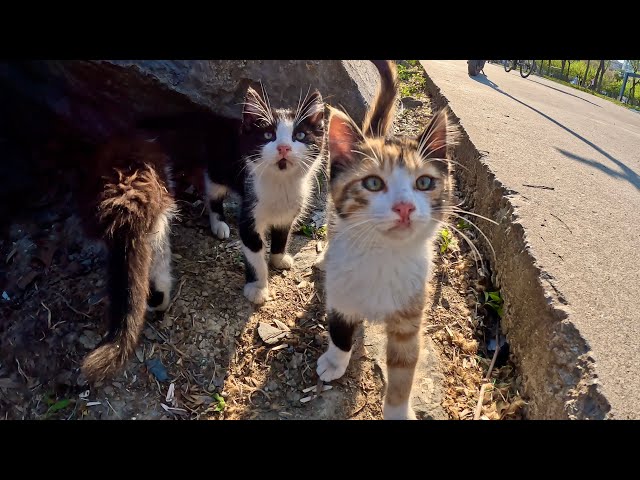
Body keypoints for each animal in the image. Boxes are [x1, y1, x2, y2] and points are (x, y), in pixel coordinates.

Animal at [205, 86, 324, 304]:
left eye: (300, 135)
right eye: (268, 135)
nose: (284, 147)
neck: (280, 184)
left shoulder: (290, 211)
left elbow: (282, 235)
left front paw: (278, 258)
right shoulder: (250, 211)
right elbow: (254, 252)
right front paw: (257, 287)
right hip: (218, 168)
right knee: (212, 193)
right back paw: (218, 223)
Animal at [316, 60, 456, 420]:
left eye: (424, 182)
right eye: (373, 183)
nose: (404, 206)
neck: (383, 255)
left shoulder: (410, 314)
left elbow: (404, 368)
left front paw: (397, 410)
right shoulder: (341, 291)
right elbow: (339, 329)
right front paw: (334, 361)